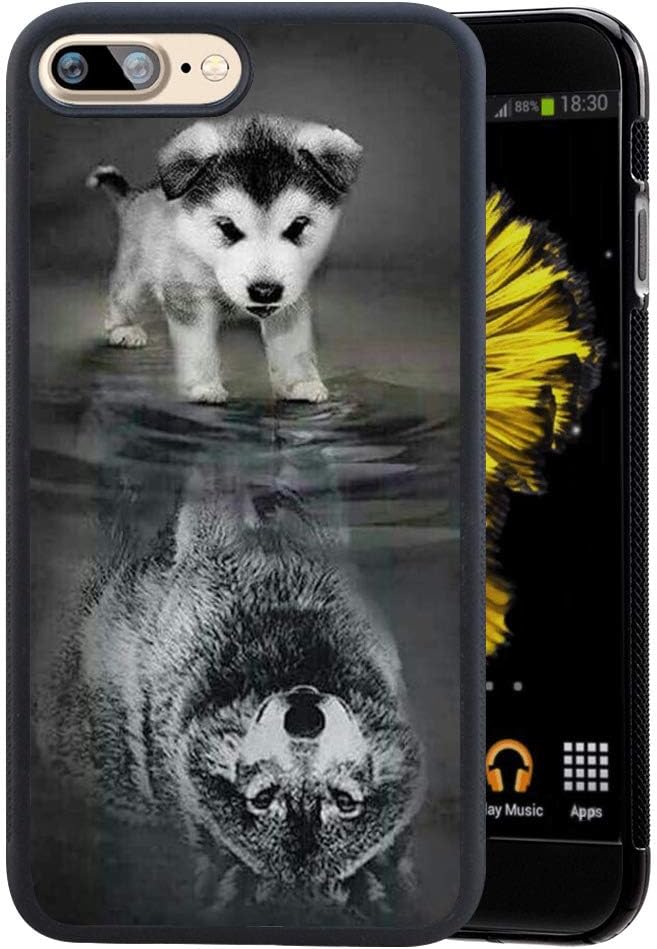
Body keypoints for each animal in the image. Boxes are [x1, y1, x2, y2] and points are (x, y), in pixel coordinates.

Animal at [87, 115, 363, 404]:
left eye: (298, 225)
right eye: (227, 227)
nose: (265, 291)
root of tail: (137, 195)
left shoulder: (291, 296)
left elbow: (293, 343)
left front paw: (300, 384)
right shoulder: (189, 296)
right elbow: (197, 344)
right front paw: (204, 387)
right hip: (136, 267)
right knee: (122, 294)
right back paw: (122, 328)